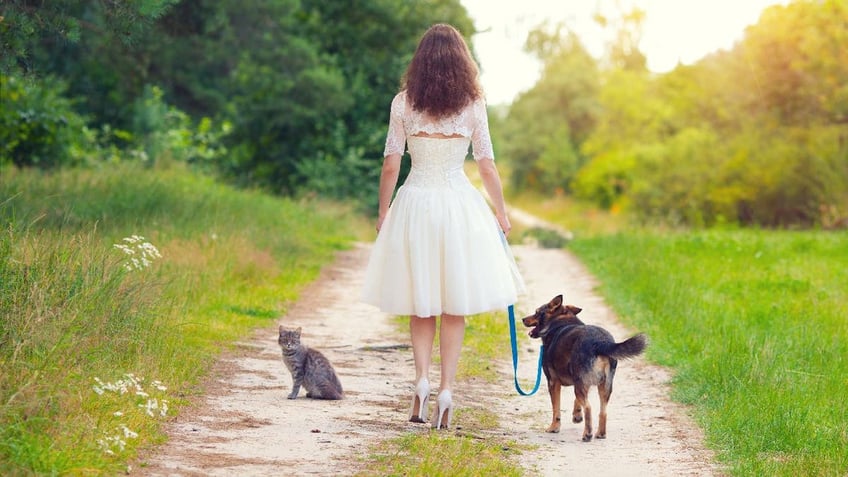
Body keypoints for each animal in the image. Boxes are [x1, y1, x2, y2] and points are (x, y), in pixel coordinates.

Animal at [516, 294, 648, 442]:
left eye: (537, 312)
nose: (523, 319)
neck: (559, 323)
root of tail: (600, 342)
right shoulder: (582, 381)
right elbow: (576, 401)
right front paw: (577, 415)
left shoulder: (553, 382)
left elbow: (556, 408)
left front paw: (554, 427)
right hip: (604, 386)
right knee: (603, 411)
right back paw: (600, 433)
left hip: (583, 384)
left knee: (589, 407)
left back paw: (587, 434)